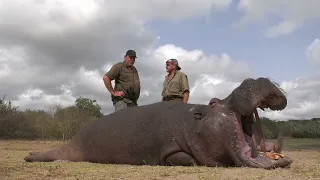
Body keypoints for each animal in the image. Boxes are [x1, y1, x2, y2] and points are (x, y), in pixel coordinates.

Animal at [24, 77, 292, 169]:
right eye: (214, 101)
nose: (254, 78)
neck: (196, 119)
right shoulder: (169, 150)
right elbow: (184, 158)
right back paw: (30, 156)